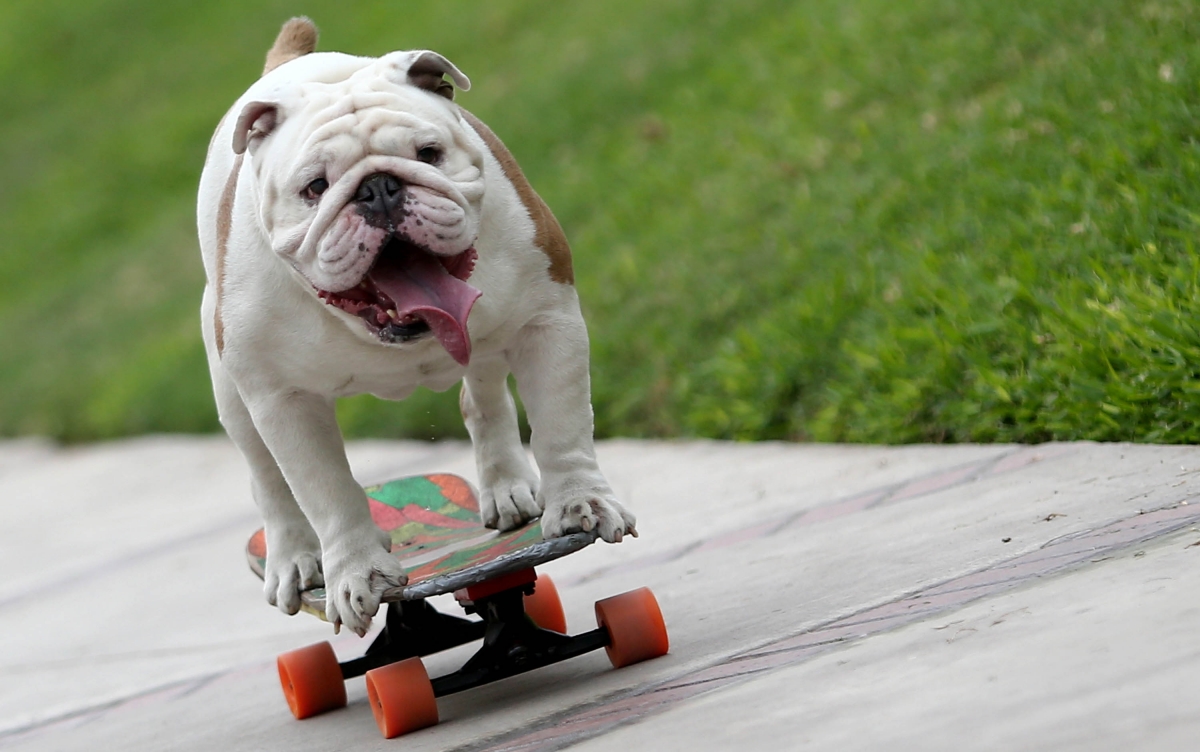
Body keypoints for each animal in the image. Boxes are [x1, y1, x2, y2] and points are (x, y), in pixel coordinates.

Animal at [194, 19, 638, 633]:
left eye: (429, 153)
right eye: (314, 187)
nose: (378, 187)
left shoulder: (547, 320)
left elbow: (561, 425)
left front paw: (579, 504)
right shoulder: (283, 400)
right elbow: (326, 491)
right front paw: (357, 573)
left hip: (488, 341)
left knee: (483, 399)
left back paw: (506, 487)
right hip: (233, 394)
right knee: (268, 480)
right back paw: (295, 560)